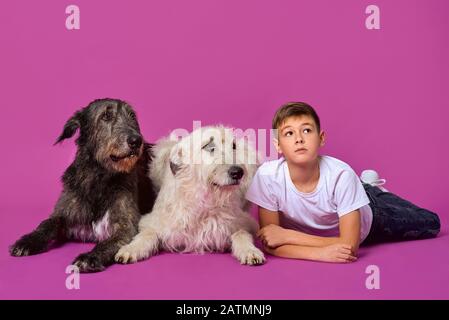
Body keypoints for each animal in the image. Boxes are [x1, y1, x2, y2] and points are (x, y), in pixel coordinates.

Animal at [8, 98, 156, 272]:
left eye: (132, 116)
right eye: (106, 116)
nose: (136, 141)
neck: (99, 177)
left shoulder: (126, 226)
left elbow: (109, 242)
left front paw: (90, 257)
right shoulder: (64, 210)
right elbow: (46, 224)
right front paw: (27, 241)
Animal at [114, 125, 264, 264]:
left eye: (233, 146)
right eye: (208, 146)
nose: (238, 172)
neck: (204, 200)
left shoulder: (244, 222)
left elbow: (241, 233)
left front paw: (250, 250)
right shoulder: (152, 221)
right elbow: (147, 232)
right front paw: (132, 248)